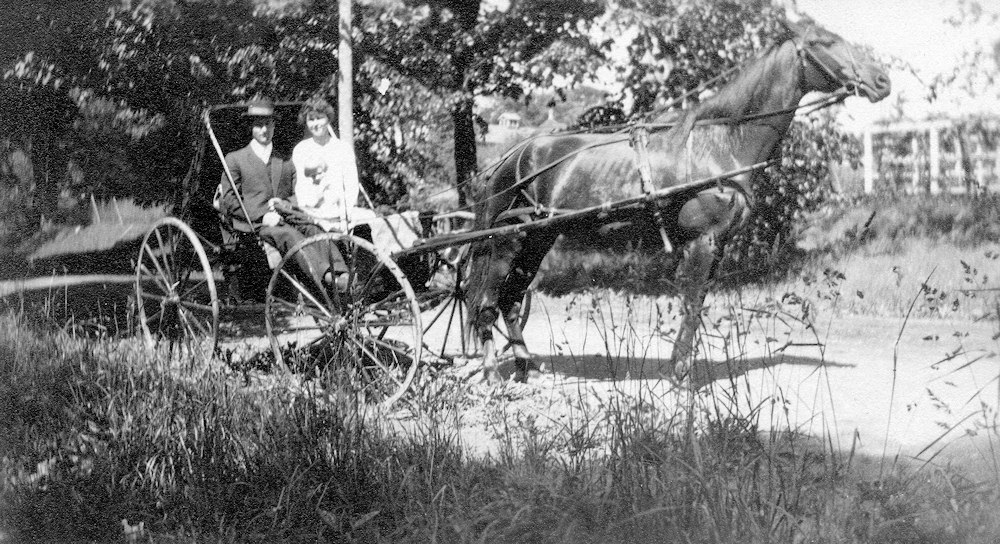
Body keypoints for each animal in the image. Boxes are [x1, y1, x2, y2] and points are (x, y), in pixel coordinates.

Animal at [464, 18, 888, 382]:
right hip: (505, 240)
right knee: (486, 303)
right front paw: (680, 375)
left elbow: (696, 304)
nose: (882, 81)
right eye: (823, 43)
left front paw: (680, 369)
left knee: (510, 299)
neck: (720, 144)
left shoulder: (717, 244)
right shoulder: (703, 240)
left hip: (539, 238)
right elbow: (693, 303)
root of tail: (510, 157)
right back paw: (492, 373)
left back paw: (526, 368)